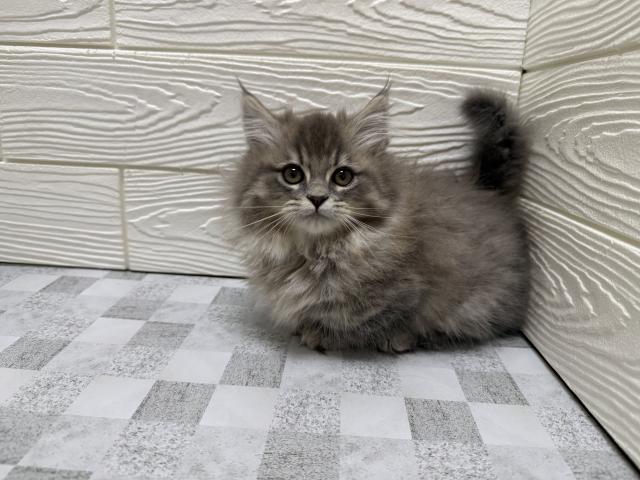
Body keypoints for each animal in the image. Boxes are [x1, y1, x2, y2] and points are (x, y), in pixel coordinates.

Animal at [227, 82, 529, 352]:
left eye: (342, 176)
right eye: (292, 174)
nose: (317, 198)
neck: (317, 251)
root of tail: (486, 191)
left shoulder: (408, 292)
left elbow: (367, 323)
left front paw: (321, 334)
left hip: (482, 301)